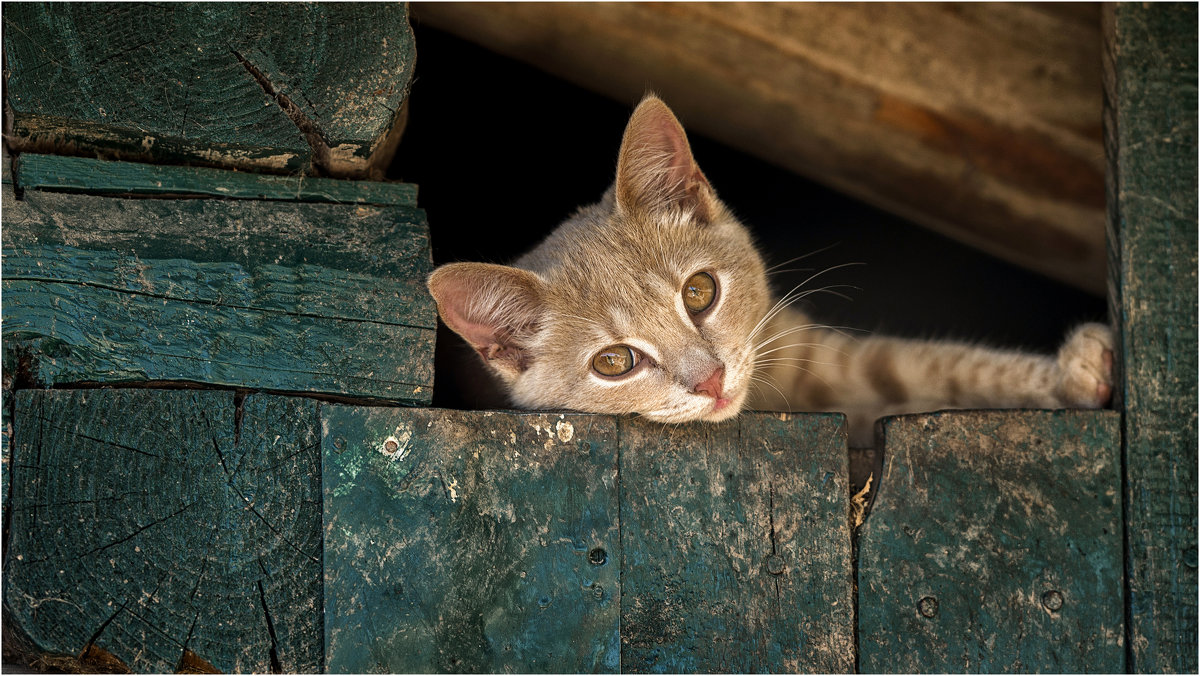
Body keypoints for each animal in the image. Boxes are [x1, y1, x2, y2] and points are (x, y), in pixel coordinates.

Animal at [424, 93, 1113, 444]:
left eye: (699, 293)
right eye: (613, 362)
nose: (710, 381)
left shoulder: (800, 346)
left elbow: (933, 365)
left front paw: (1069, 374)